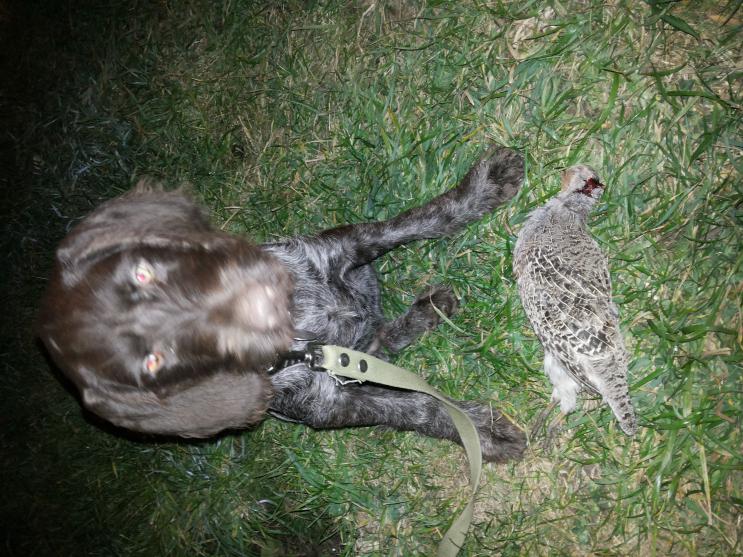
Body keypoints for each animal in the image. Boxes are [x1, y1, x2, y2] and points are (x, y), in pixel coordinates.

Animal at [37, 147, 526, 463]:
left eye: (145, 274)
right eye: (154, 362)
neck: (302, 335)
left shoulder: (345, 244)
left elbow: (414, 222)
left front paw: (479, 192)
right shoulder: (334, 403)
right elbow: (418, 407)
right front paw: (480, 432)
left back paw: (430, 308)